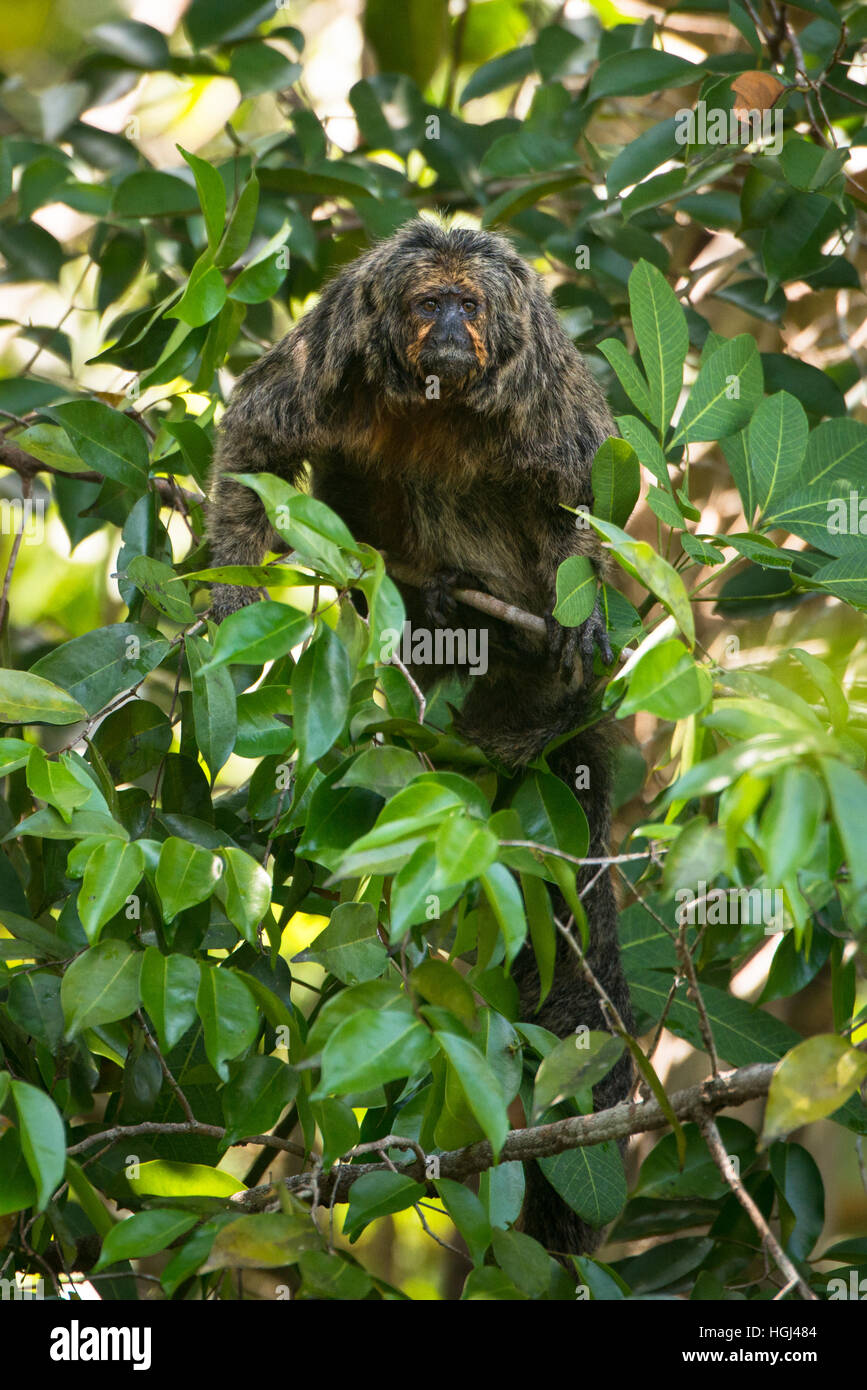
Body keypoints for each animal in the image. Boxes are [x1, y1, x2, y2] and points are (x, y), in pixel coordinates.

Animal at [207, 217, 635, 1259]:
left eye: (467, 307)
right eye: (423, 303)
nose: (444, 329)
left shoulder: (537, 383)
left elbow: (588, 487)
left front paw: (583, 616)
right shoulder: (335, 349)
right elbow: (256, 441)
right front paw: (230, 595)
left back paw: (529, 647)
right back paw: (434, 599)